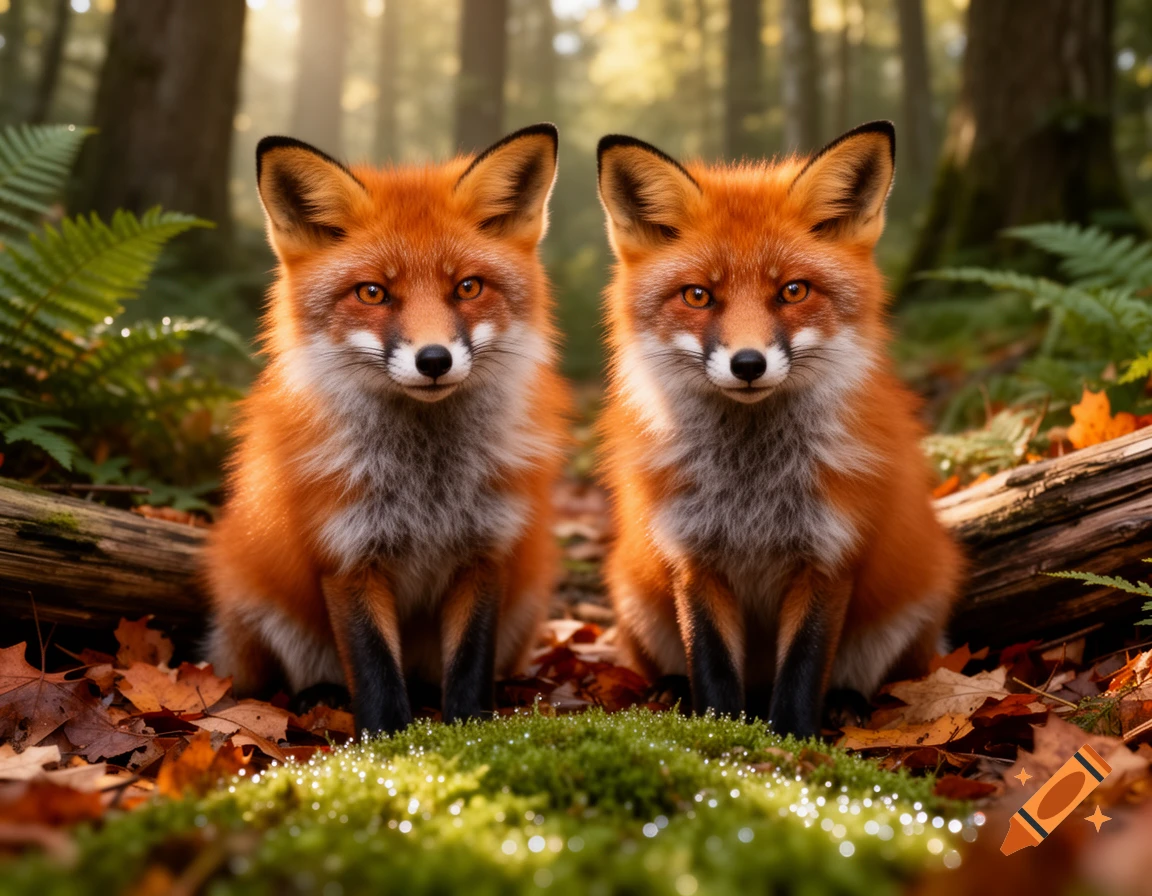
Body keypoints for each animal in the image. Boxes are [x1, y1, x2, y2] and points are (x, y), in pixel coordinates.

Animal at [203, 124, 570, 734]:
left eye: (468, 288)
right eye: (372, 292)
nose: (434, 360)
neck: (427, 483)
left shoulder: (485, 551)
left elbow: (470, 665)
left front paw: (470, 731)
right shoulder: (346, 554)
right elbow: (373, 668)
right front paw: (388, 742)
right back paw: (317, 699)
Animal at [595, 121, 962, 737]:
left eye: (793, 290)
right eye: (698, 295)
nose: (748, 364)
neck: (753, 491)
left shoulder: (830, 557)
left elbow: (803, 670)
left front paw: (790, 742)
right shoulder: (692, 559)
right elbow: (713, 667)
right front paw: (722, 736)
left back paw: (847, 703)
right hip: (635, 596)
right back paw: (669, 691)